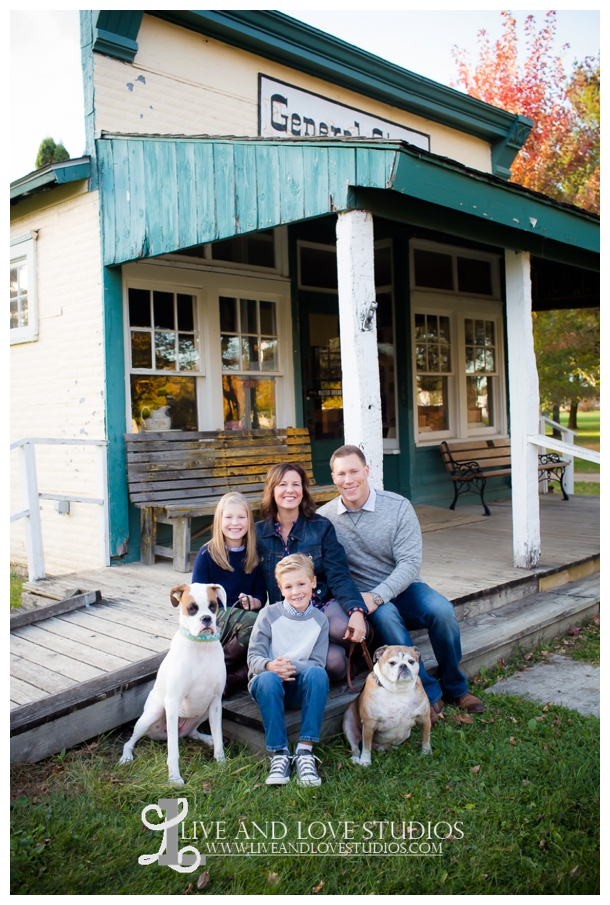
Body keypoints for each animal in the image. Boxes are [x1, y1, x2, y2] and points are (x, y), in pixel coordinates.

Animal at [118, 584, 226, 780]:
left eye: (213, 605)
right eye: (192, 608)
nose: (206, 619)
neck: (201, 646)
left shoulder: (215, 702)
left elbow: (219, 739)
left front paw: (222, 765)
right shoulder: (173, 702)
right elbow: (173, 751)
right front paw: (175, 778)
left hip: (204, 712)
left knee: (193, 732)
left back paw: (207, 739)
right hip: (153, 714)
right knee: (130, 741)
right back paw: (126, 757)